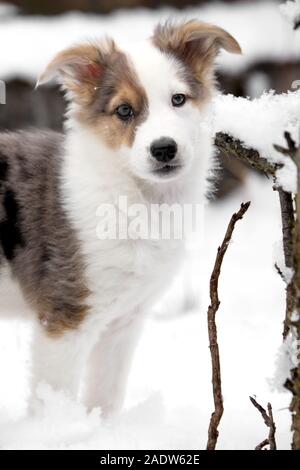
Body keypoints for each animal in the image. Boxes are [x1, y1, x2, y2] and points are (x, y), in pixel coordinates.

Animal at [0, 20, 240, 414]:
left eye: (178, 99)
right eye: (124, 111)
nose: (164, 149)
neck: (136, 199)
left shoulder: (124, 321)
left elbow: (105, 396)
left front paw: (101, 425)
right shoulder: (66, 318)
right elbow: (55, 397)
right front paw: (59, 426)